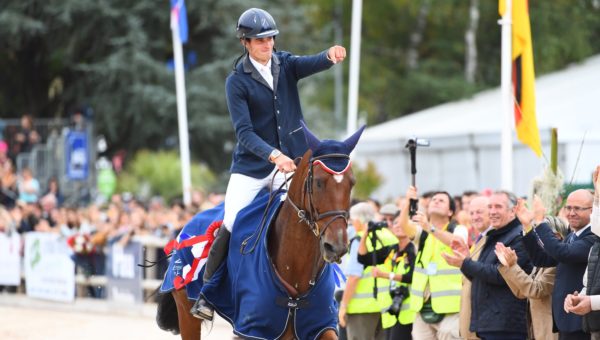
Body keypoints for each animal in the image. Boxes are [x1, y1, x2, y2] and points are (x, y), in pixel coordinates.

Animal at [157, 125, 364, 340]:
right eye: (319, 183)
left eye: (352, 182)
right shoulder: (254, 328)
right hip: (186, 310)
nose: (336, 246)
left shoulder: (319, 325)